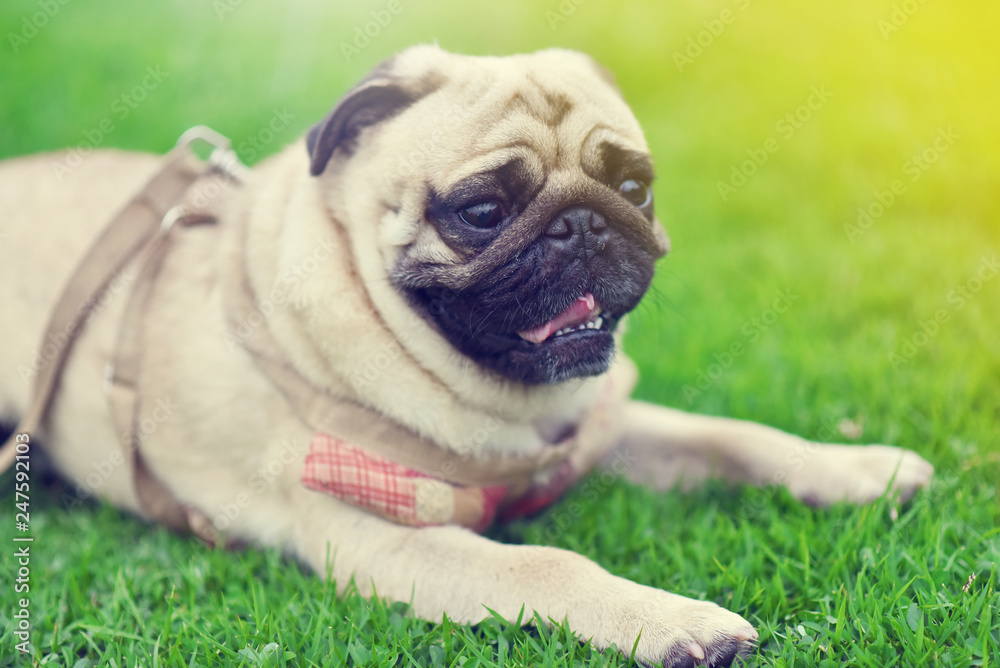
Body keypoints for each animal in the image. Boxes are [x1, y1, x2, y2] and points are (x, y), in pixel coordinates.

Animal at [0, 44, 936, 664]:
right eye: (482, 212)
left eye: (635, 189)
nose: (584, 223)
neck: (502, 405)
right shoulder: (382, 537)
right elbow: (550, 565)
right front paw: (675, 623)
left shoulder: (592, 428)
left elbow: (728, 437)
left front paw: (860, 469)